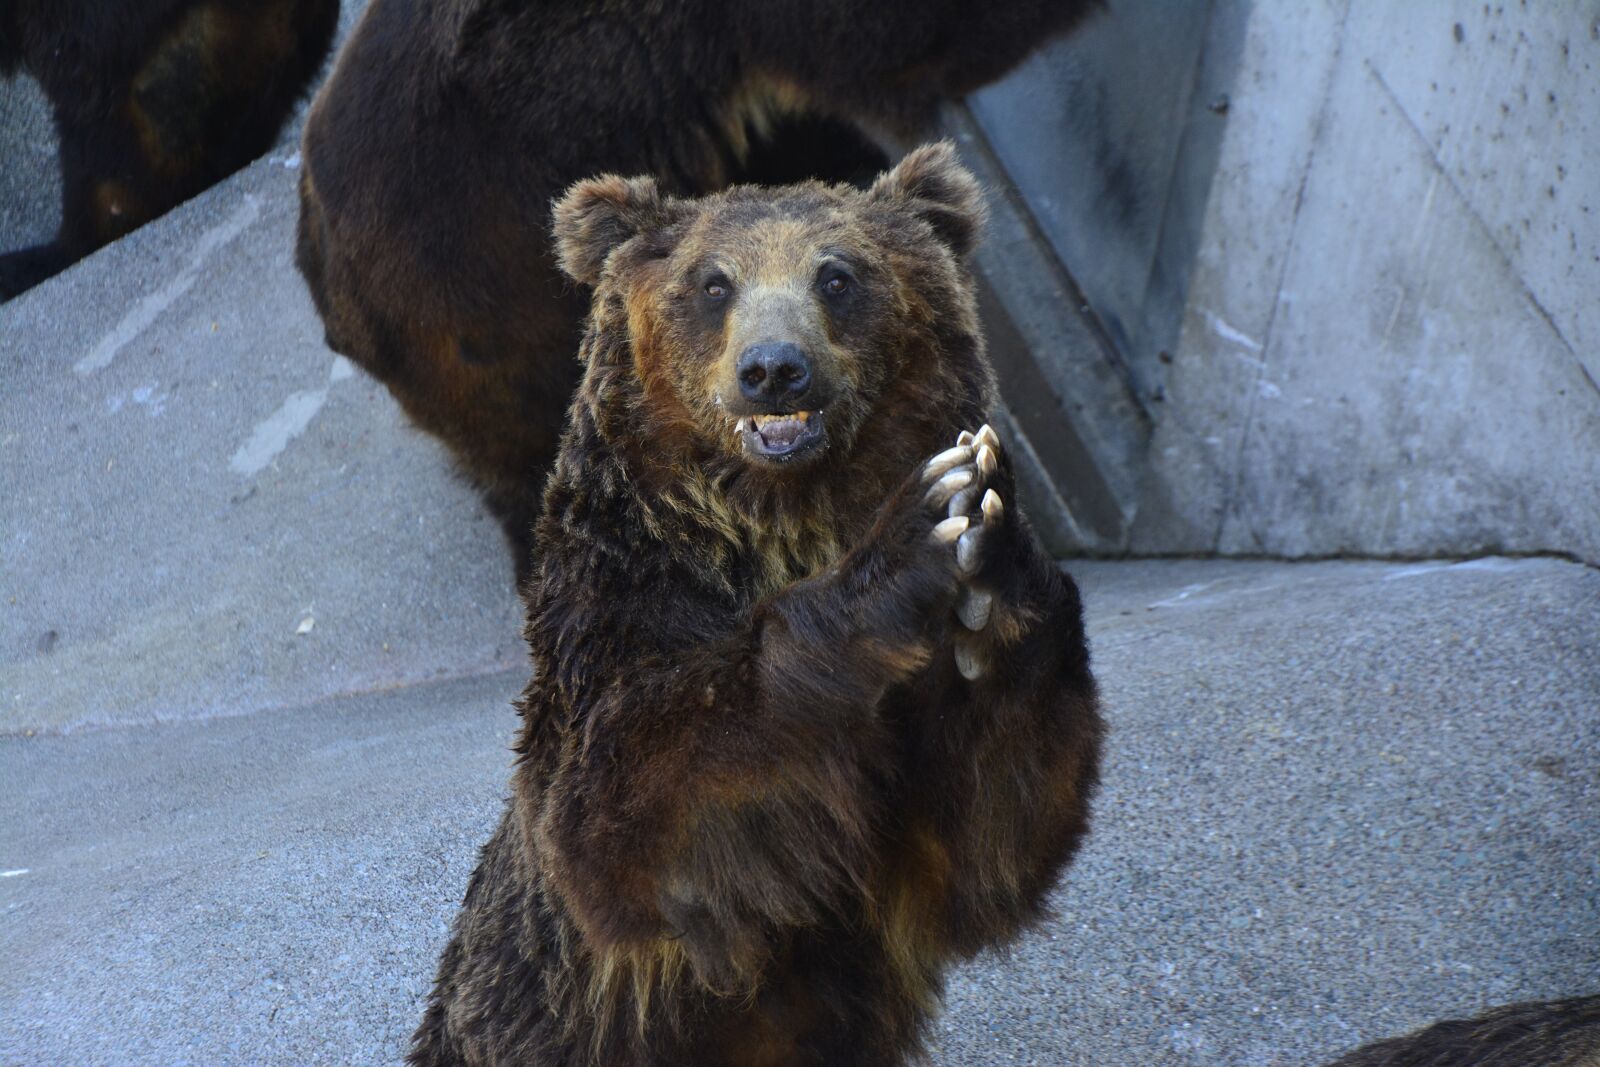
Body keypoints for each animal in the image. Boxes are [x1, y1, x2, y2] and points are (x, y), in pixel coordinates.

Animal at [406, 142, 1104, 1067]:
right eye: (713, 282)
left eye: (837, 275)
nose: (774, 369)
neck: (776, 519)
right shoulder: (616, 611)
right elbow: (635, 804)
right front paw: (918, 528)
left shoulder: (905, 818)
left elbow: (989, 833)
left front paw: (993, 537)